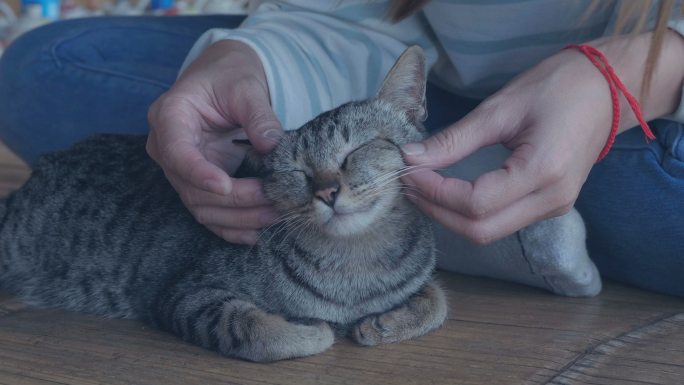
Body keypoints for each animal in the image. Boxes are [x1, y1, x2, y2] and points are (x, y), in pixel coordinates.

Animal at [0, 45, 448, 360]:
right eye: (297, 171)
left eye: (355, 150)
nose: (326, 192)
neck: (356, 268)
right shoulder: (184, 295)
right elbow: (250, 328)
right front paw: (310, 330)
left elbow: (438, 300)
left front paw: (388, 321)